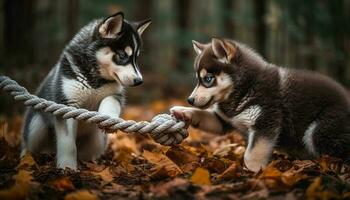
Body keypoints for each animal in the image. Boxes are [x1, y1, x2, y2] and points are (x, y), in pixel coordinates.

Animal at [21, 11, 151, 170]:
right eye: (122, 56)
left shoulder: (115, 94)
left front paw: (108, 116)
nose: (139, 81)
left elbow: (110, 102)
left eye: (136, 58)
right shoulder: (67, 105)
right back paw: (26, 158)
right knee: (29, 144)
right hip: (36, 126)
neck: (95, 80)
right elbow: (68, 143)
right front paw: (67, 167)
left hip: (97, 141)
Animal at [170, 38, 350, 172]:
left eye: (207, 79)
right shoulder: (224, 120)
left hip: (319, 131)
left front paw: (254, 172)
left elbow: (252, 154)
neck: (244, 88)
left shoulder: (265, 121)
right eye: (198, 80)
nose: (190, 100)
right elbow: (203, 114)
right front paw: (183, 111)